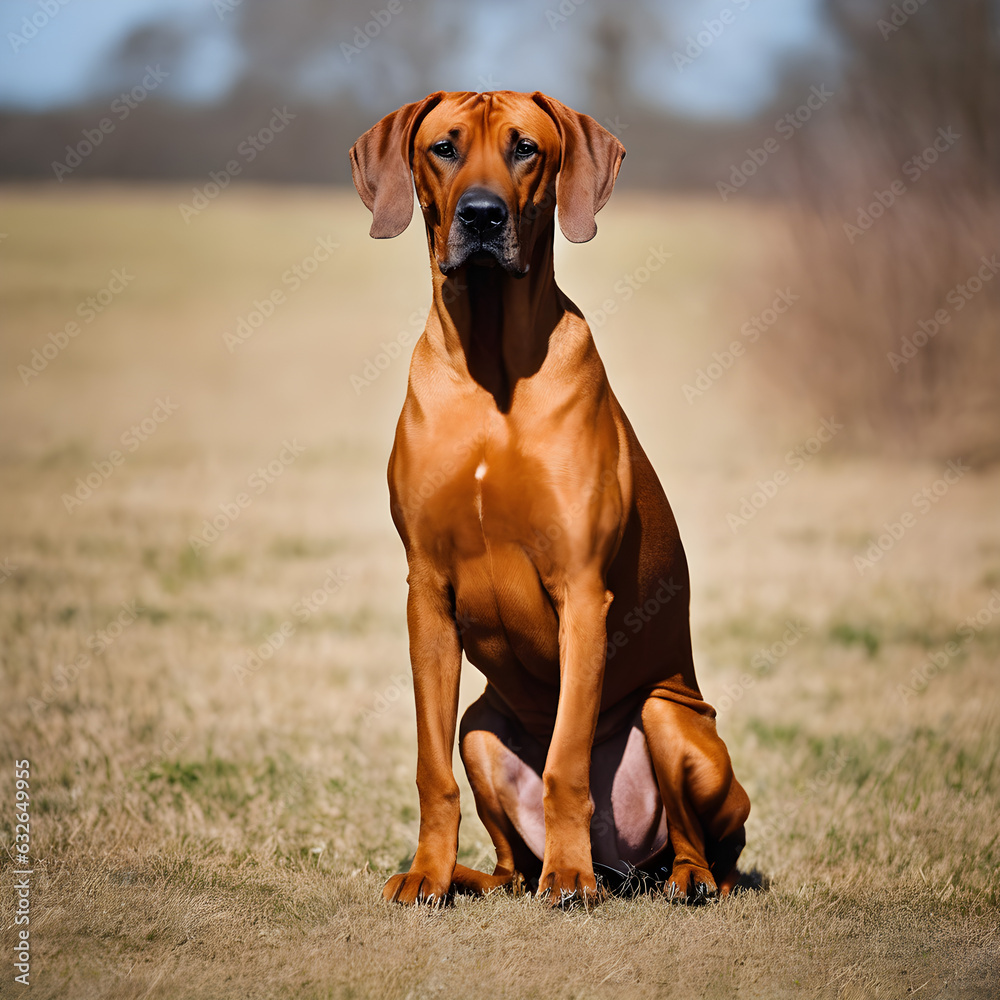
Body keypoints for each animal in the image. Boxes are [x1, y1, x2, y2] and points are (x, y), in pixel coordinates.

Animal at [352, 92, 752, 908]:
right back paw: (482, 877)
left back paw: (673, 878)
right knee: (509, 860)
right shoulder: (426, 591)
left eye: (525, 149)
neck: (490, 364)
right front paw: (427, 875)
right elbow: (429, 770)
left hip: (672, 720)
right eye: (444, 147)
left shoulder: (582, 588)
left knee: (705, 847)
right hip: (480, 731)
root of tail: (628, 869)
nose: (481, 216)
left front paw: (569, 878)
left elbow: (568, 760)